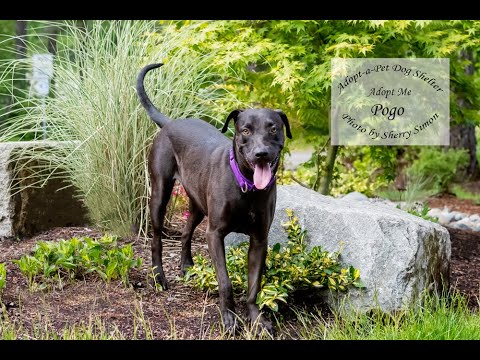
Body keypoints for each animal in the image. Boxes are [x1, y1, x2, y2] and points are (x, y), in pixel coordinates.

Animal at [136, 63, 292, 334]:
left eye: (273, 128)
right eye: (245, 130)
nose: (261, 153)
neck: (247, 186)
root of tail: (170, 123)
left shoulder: (259, 239)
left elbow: (254, 286)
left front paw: (256, 319)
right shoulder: (215, 234)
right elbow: (225, 282)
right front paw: (229, 317)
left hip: (198, 205)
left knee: (186, 232)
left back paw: (186, 266)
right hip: (160, 193)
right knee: (156, 238)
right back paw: (159, 277)